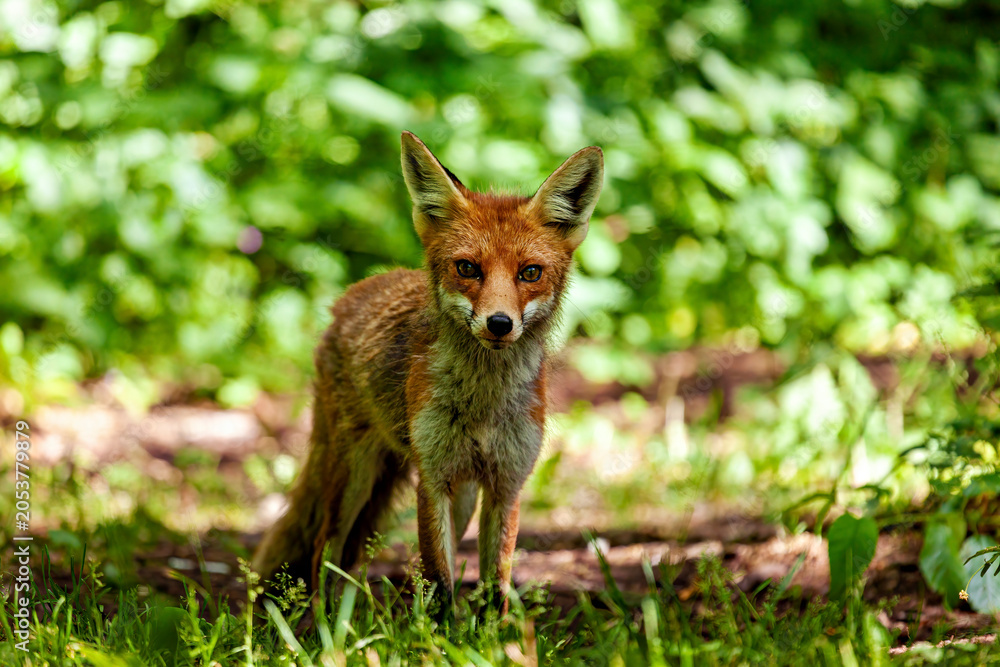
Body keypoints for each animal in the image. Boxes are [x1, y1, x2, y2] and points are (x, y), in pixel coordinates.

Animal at [253, 131, 604, 615]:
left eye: (530, 272)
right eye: (467, 268)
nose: (499, 323)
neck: (483, 403)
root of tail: (354, 293)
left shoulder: (506, 483)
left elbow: (494, 585)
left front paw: (494, 634)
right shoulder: (433, 476)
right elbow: (439, 582)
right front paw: (437, 630)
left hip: (464, 494)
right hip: (353, 476)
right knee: (327, 548)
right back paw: (329, 624)